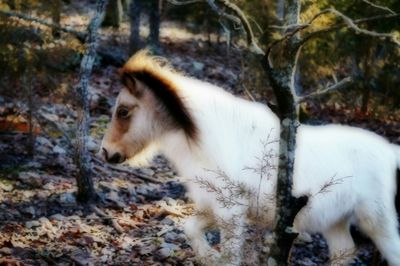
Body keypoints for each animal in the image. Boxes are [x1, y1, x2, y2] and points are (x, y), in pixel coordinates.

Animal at [101, 51, 400, 264]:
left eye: (124, 111)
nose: (105, 152)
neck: (210, 137)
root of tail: (388, 151)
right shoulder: (214, 207)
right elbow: (190, 229)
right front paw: (208, 257)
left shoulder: (230, 212)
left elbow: (229, 255)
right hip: (335, 222)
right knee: (344, 253)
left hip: (377, 221)